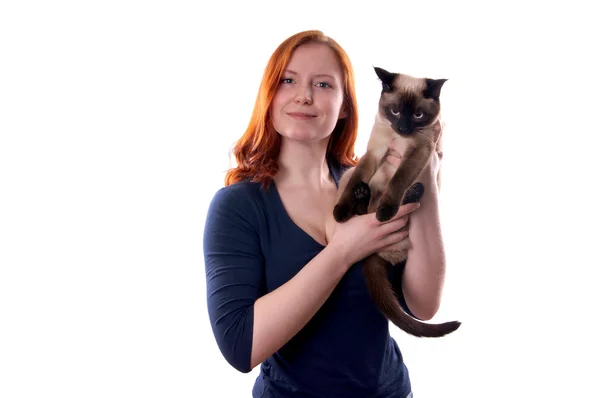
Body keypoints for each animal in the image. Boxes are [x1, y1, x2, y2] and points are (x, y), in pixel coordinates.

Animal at [330, 67, 462, 338]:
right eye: (395, 111)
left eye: (418, 115)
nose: (403, 127)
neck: (396, 136)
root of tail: (372, 252)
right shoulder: (374, 153)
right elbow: (354, 182)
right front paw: (341, 212)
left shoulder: (419, 152)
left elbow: (398, 180)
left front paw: (386, 211)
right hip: (351, 173)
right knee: (358, 194)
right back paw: (361, 196)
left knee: (405, 195)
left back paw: (391, 204)